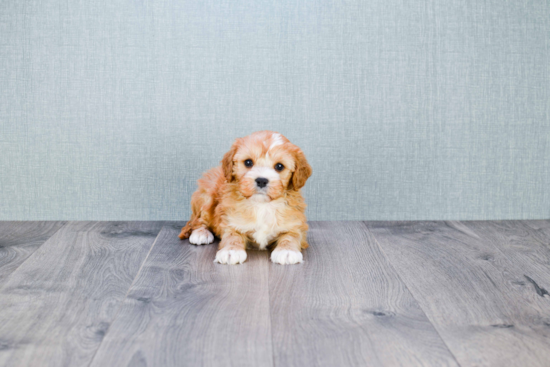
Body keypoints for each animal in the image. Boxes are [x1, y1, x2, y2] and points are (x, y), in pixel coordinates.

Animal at [179, 131, 312, 266]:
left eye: (279, 166)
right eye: (248, 162)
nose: (261, 180)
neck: (262, 205)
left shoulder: (297, 223)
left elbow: (292, 235)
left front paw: (287, 251)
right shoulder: (229, 219)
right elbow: (232, 235)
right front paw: (231, 251)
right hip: (207, 196)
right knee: (198, 220)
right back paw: (201, 233)